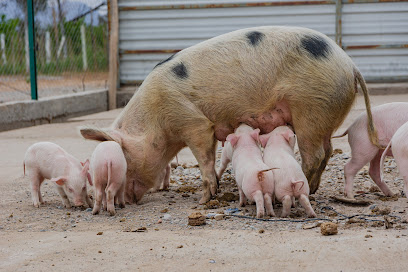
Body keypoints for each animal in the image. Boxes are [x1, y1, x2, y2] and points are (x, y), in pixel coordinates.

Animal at [81, 26, 378, 204]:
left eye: (125, 161)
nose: (127, 201)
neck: (156, 122)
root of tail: (351, 66)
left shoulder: (194, 122)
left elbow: (204, 157)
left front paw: (203, 200)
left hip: (310, 108)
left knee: (314, 155)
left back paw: (301, 187)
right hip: (323, 116)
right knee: (326, 151)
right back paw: (314, 188)